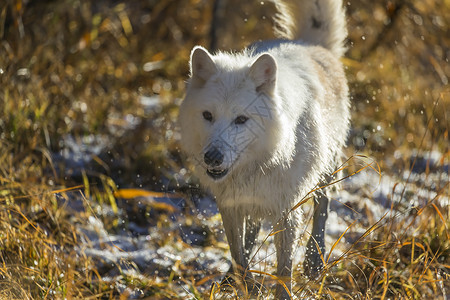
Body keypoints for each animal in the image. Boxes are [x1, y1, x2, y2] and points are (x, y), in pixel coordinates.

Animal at [178, 0, 350, 298]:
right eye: (208, 116)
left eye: (241, 120)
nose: (212, 158)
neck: (262, 161)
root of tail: (309, 43)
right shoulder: (230, 205)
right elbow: (238, 256)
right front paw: (247, 286)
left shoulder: (287, 210)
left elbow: (284, 269)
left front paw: (283, 292)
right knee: (253, 229)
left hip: (324, 169)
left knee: (323, 204)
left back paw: (314, 261)